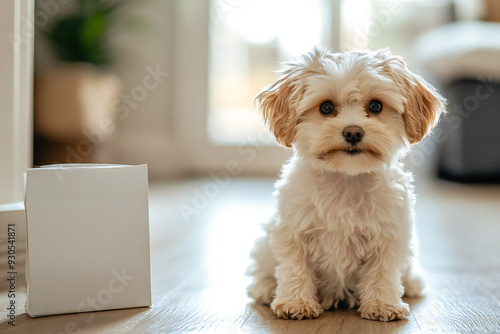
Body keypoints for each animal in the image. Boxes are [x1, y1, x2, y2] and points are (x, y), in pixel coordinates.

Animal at [246, 48, 446, 322]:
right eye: (326, 107)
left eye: (376, 106)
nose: (353, 132)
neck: (345, 179)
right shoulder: (292, 232)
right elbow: (294, 267)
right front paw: (296, 302)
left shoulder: (390, 235)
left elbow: (382, 271)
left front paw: (382, 304)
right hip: (265, 244)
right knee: (265, 269)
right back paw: (266, 288)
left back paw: (412, 283)